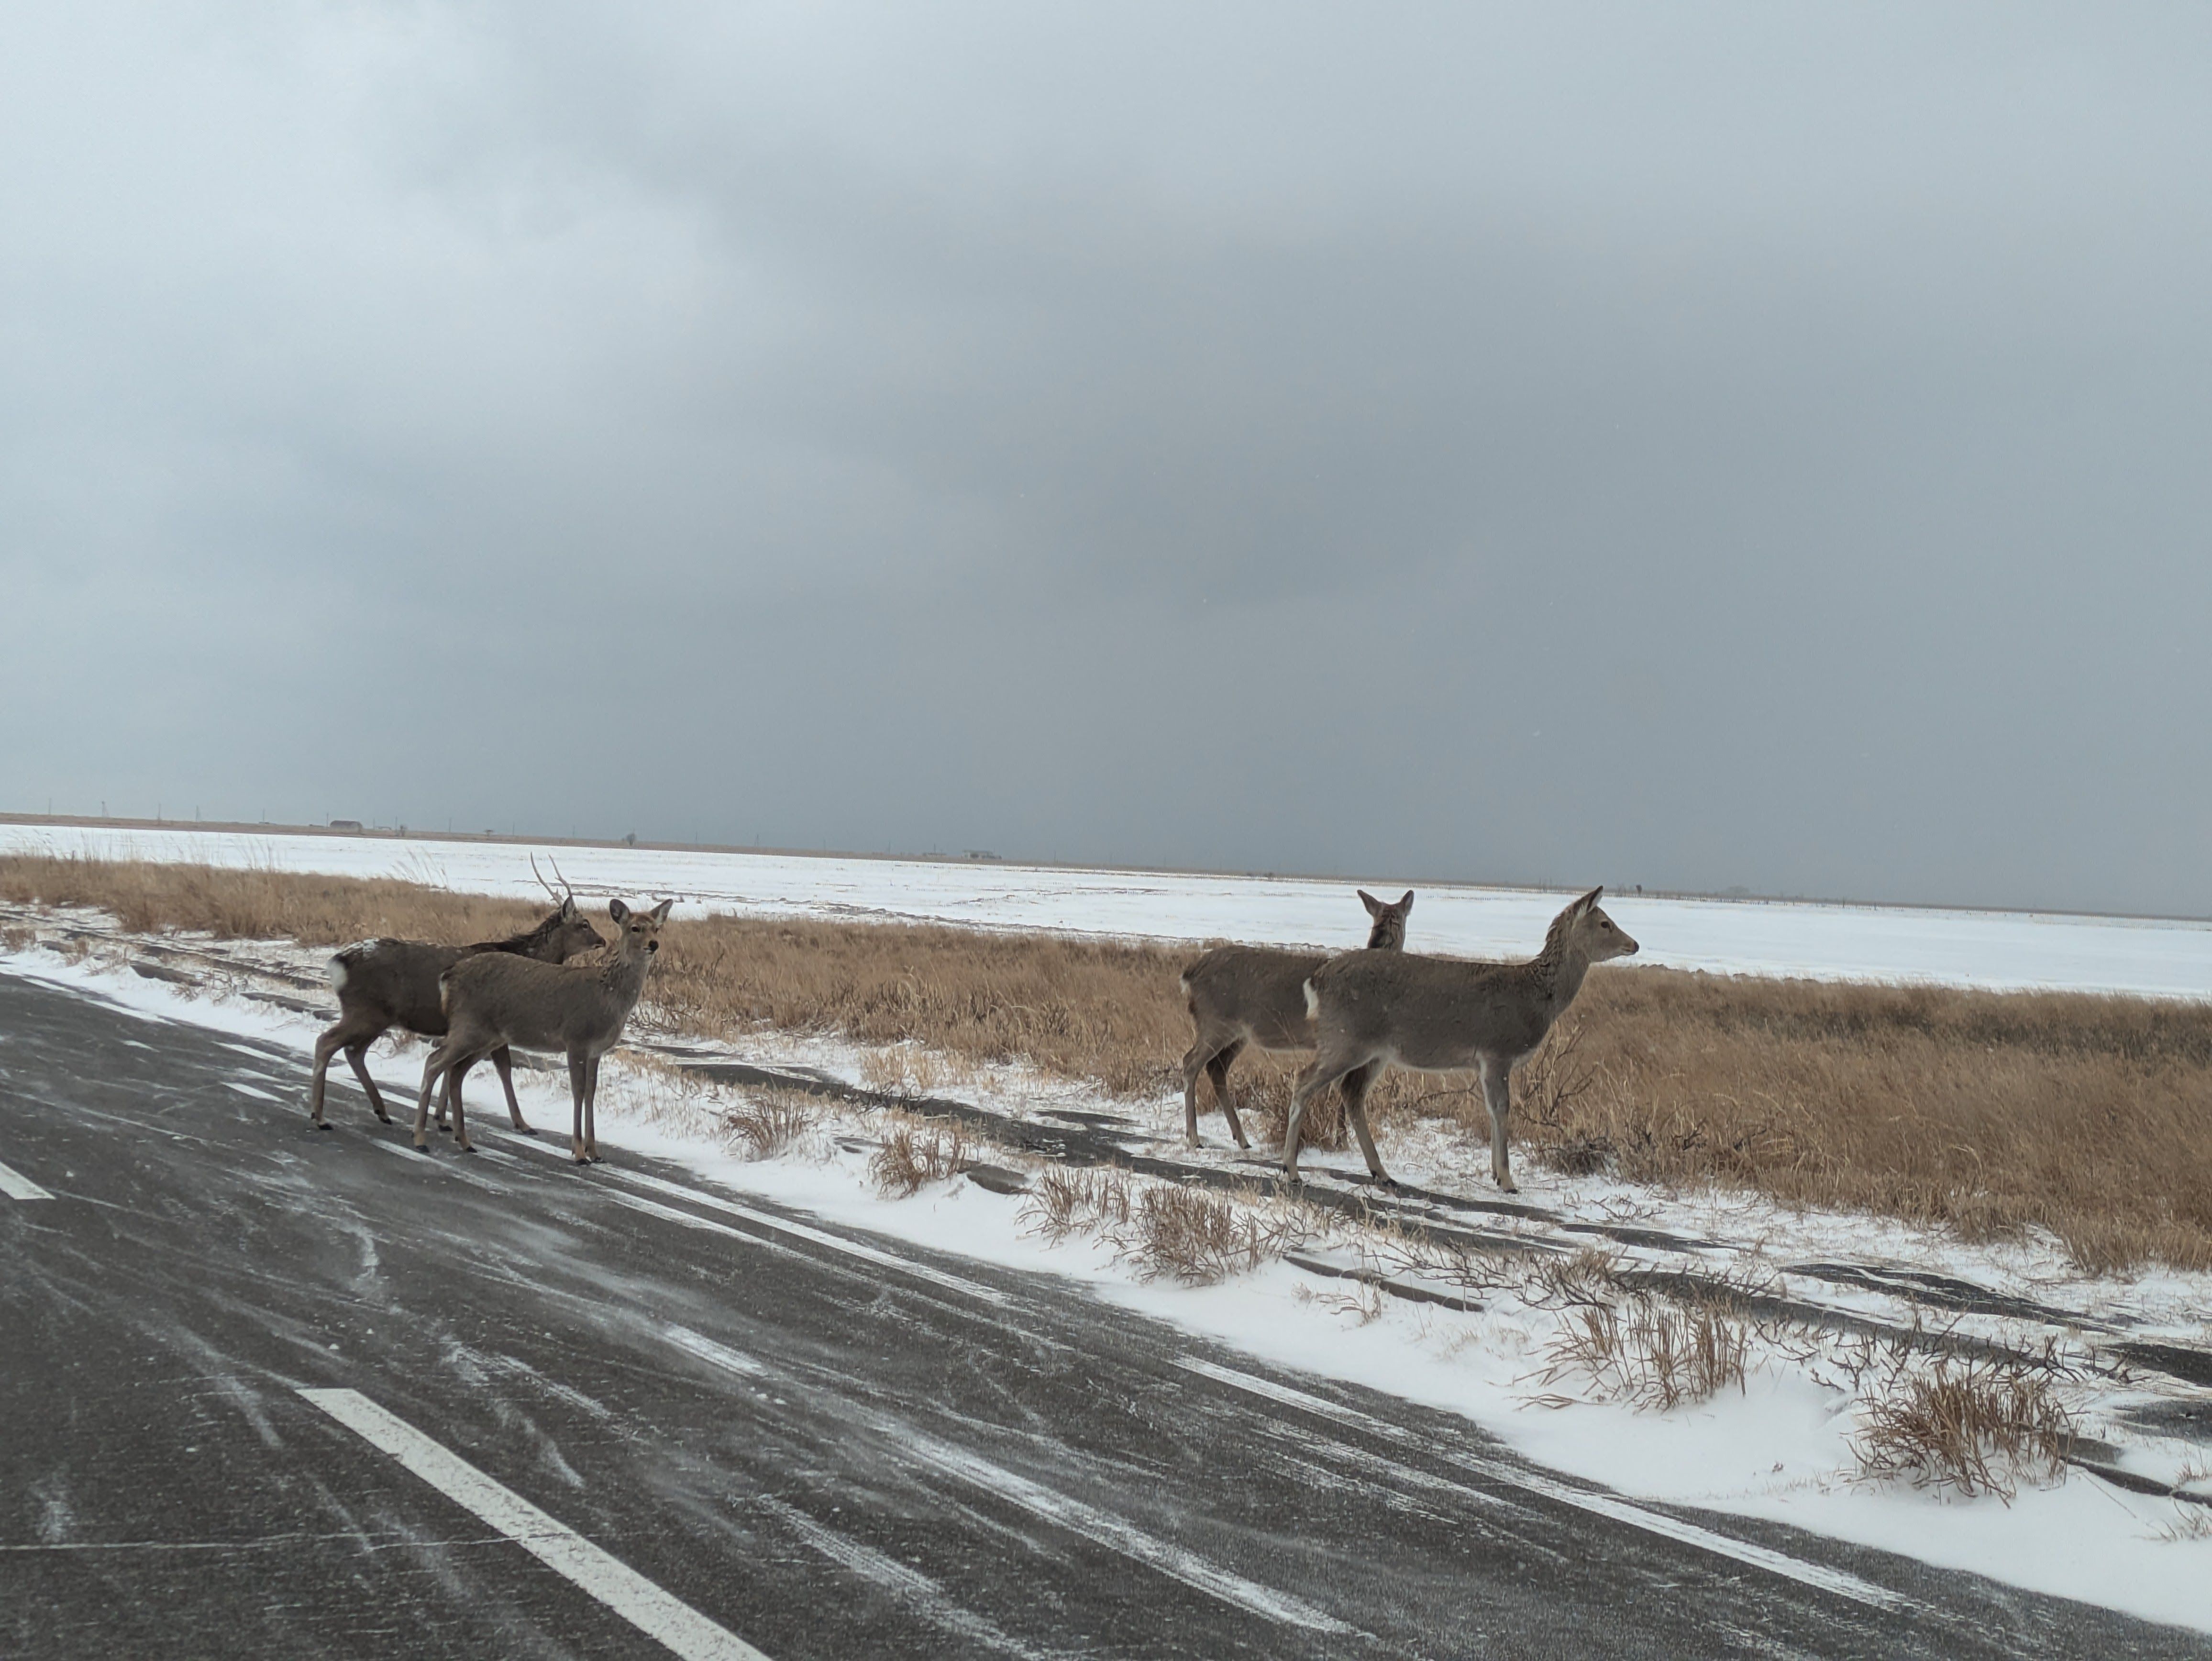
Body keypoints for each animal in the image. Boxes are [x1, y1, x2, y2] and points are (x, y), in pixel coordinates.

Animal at [308, 861, 603, 1133]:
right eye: (584, 924)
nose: (603, 940)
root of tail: (338, 962)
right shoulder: (495, 1027)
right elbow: (503, 1069)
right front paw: (522, 1124)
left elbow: (454, 1068)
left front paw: (441, 1117)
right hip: (366, 1011)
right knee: (327, 1042)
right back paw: (321, 1117)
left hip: (378, 1016)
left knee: (353, 1052)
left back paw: (381, 1111)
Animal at [411, 897, 673, 1162]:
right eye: (635, 928)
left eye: (657, 928)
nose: (654, 944)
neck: (608, 994)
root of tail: (448, 975)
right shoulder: (576, 1039)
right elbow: (578, 1091)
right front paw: (579, 1152)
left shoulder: (597, 1051)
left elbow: (591, 1092)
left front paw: (595, 1151)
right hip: (469, 1027)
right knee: (434, 1063)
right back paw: (421, 1139)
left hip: (486, 1036)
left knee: (455, 1072)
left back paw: (464, 1141)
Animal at [1177, 889, 1413, 1149]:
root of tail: (1189, 974)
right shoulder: (1345, 1040)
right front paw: (1341, 1140)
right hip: (1214, 1022)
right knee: (1190, 1063)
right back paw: (1194, 1137)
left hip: (1238, 1033)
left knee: (1216, 1068)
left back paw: (1241, 1139)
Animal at [1283, 886, 1637, 1192]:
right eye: (1605, 923)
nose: (1634, 944)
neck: (1537, 998)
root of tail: (1316, 981)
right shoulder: (1497, 1052)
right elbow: (1502, 1109)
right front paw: (1507, 1180)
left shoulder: (1486, 1061)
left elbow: (1492, 1110)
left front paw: (1496, 1174)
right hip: (1346, 1039)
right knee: (1303, 1081)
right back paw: (1292, 1170)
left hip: (1374, 1050)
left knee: (1349, 1091)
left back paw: (1381, 1173)